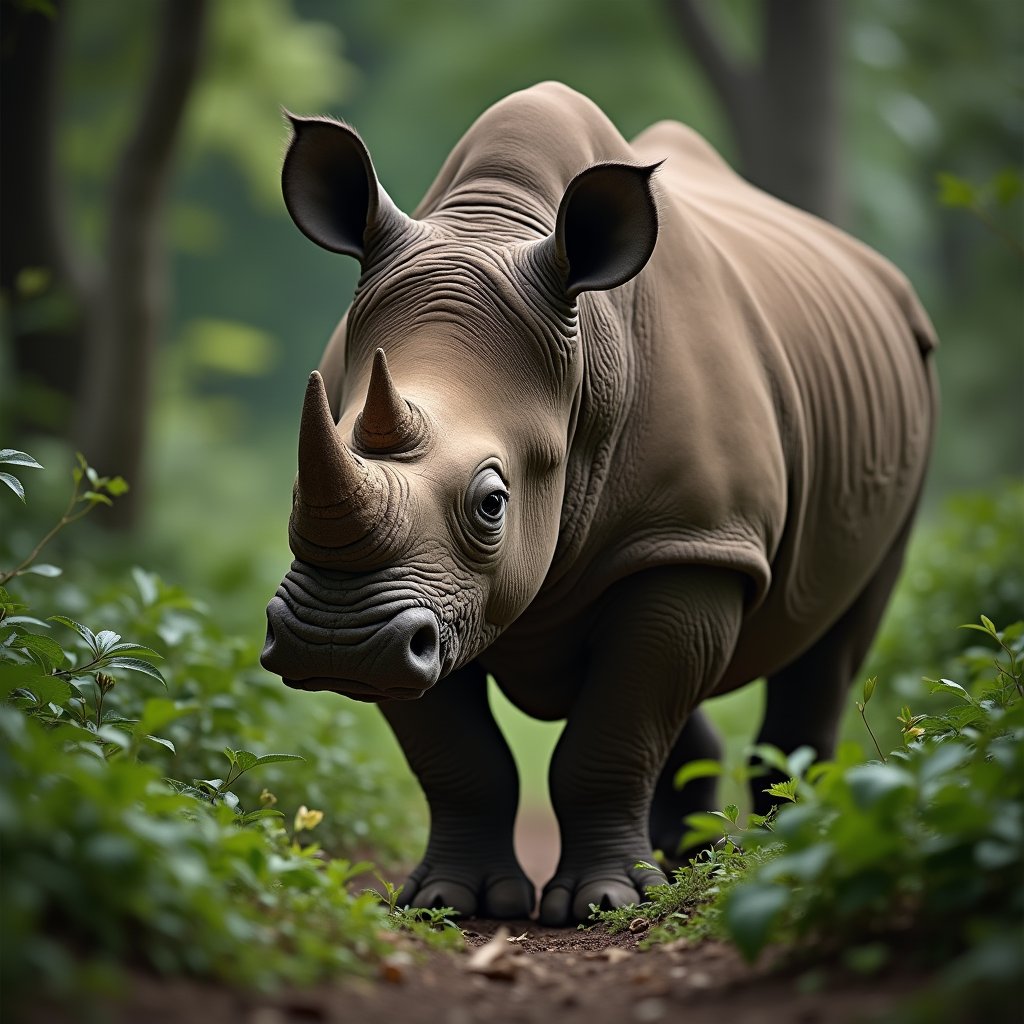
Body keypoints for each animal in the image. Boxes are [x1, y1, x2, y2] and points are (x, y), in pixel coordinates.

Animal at [261, 82, 937, 925]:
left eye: (493, 503)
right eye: (296, 482)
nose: (335, 642)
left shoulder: (691, 537)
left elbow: (616, 729)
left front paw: (600, 905)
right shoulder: (424, 599)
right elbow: (457, 752)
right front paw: (452, 902)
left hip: (910, 385)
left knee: (828, 644)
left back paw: (768, 858)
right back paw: (689, 860)